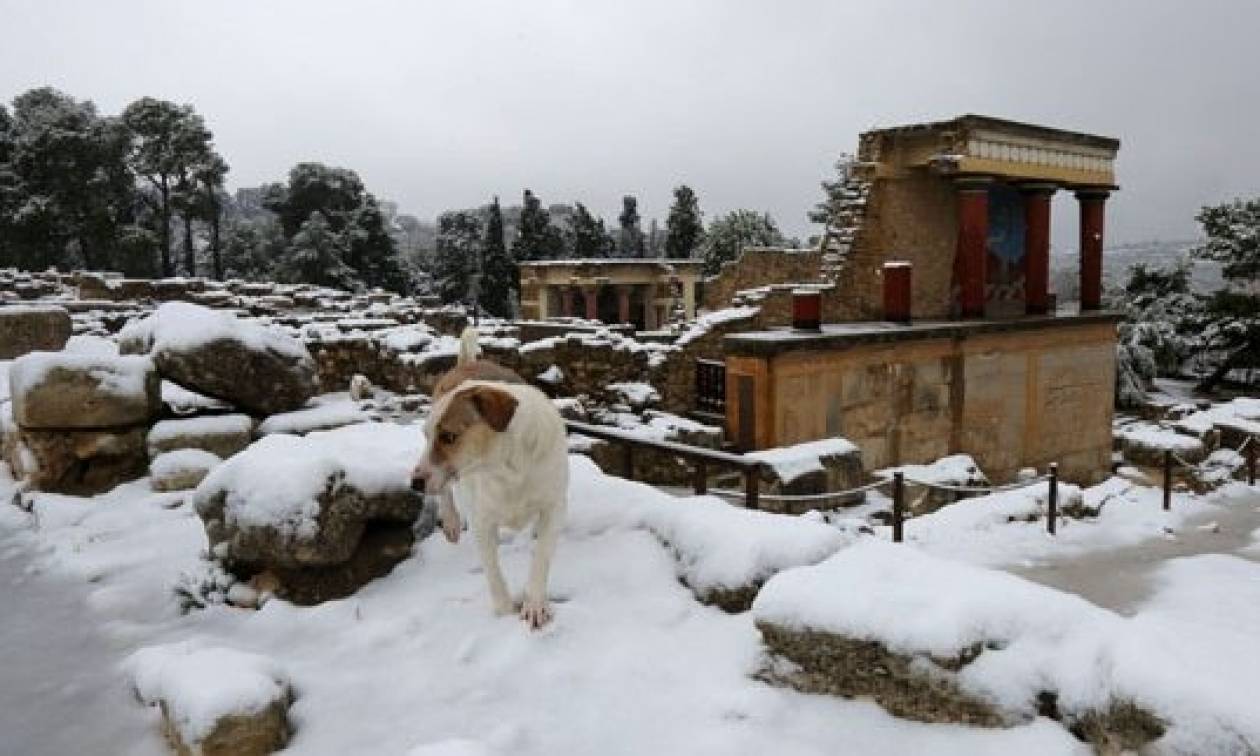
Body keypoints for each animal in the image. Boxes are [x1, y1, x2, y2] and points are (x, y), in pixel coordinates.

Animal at [410, 327, 569, 630]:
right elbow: (493, 571)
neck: (507, 468)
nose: (414, 484)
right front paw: (505, 612)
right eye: (426, 435)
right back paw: (450, 520)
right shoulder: (481, 519)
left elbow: (541, 555)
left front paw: (534, 604)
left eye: (448, 436)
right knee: (446, 491)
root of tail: (467, 364)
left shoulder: (553, 506)